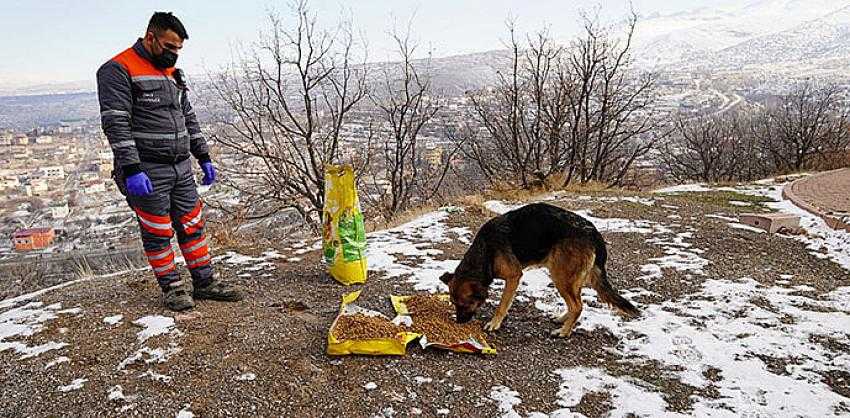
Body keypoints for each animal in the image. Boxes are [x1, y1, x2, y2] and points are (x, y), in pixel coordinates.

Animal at [438, 202, 636, 336]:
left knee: (577, 306)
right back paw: (564, 319)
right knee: (576, 303)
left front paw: (495, 323)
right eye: (453, 303)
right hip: (570, 277)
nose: (459, 322)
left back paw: (564, 332)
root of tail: (593, 232)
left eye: (464, 304)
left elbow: (502, 305)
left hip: (560, 276)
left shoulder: (514, 276)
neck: (486, 251)